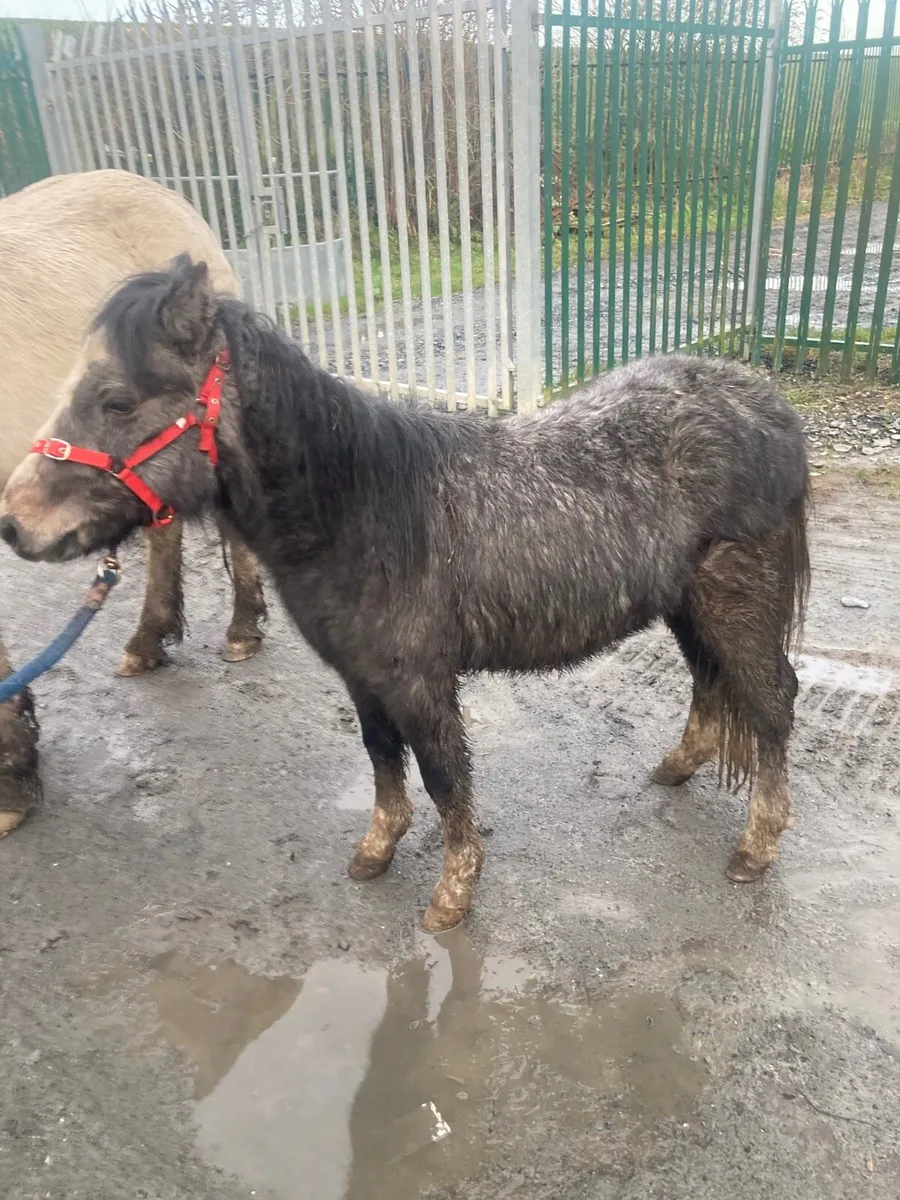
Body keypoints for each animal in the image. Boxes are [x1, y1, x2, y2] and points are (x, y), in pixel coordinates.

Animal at [0, 255, 811, 931]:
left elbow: (444, 775)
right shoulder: (362, 675)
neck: (361, 508)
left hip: (736, 600)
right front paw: (378, 848)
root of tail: (767, 403)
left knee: (770, 700)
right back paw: (677, 768)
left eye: (115, 399)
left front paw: (453, 894)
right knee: (711, 680)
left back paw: (756, 846)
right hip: (688, 604)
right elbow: (382, 756)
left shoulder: (421, 680)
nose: (15, 522)